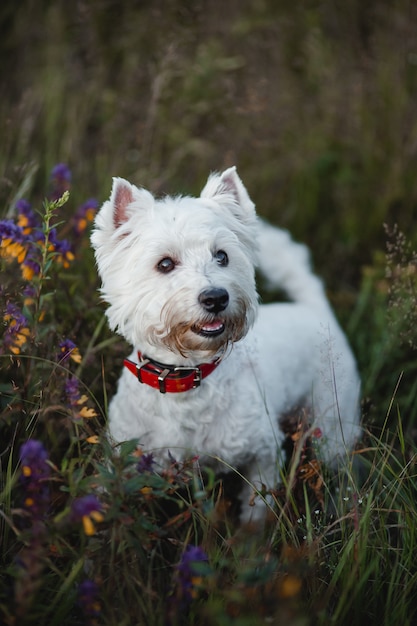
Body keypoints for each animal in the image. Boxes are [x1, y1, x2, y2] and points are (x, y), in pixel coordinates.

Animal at [92, 167, 360, 520]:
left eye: (222, 256)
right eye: (165, 263)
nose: (216, 297)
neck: (186, 378)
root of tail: (316, 309)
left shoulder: (264, 452)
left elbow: (256, 510)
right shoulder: (125, 456)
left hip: (333, 422)